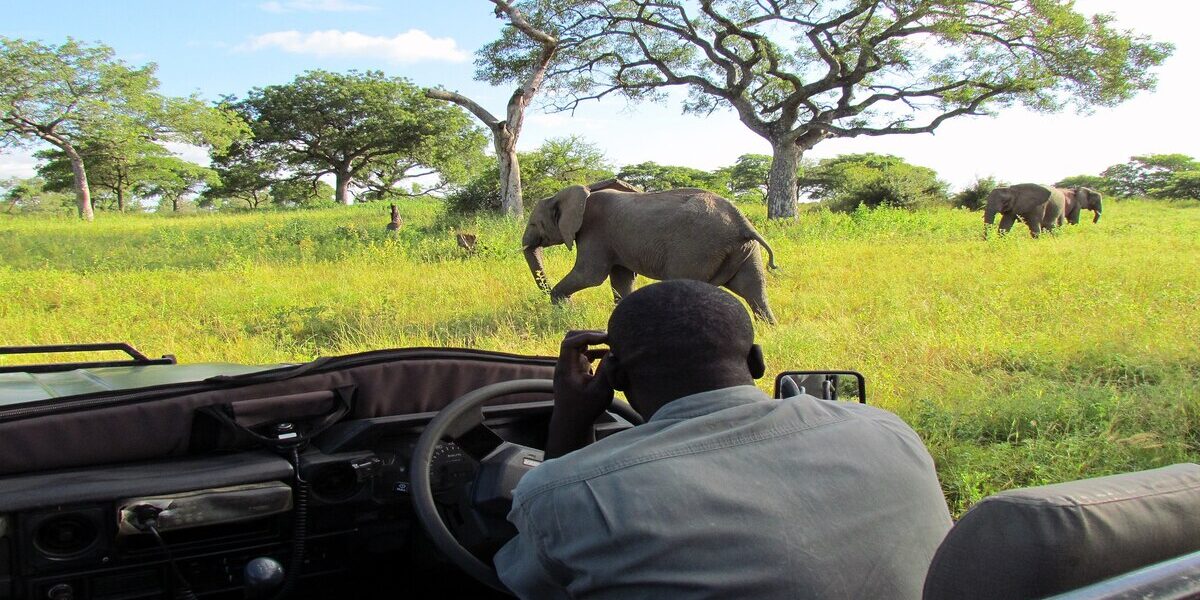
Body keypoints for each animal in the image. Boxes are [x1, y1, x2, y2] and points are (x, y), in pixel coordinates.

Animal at [521, 180, 779, 322]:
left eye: (534, 224)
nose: (570, 307)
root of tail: (741, 222)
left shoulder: (594, 232)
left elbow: (590, 275)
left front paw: (560, 304)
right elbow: (621, 279)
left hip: (696, 250)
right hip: (744, 250)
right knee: (754, 290)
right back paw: (769, 329)